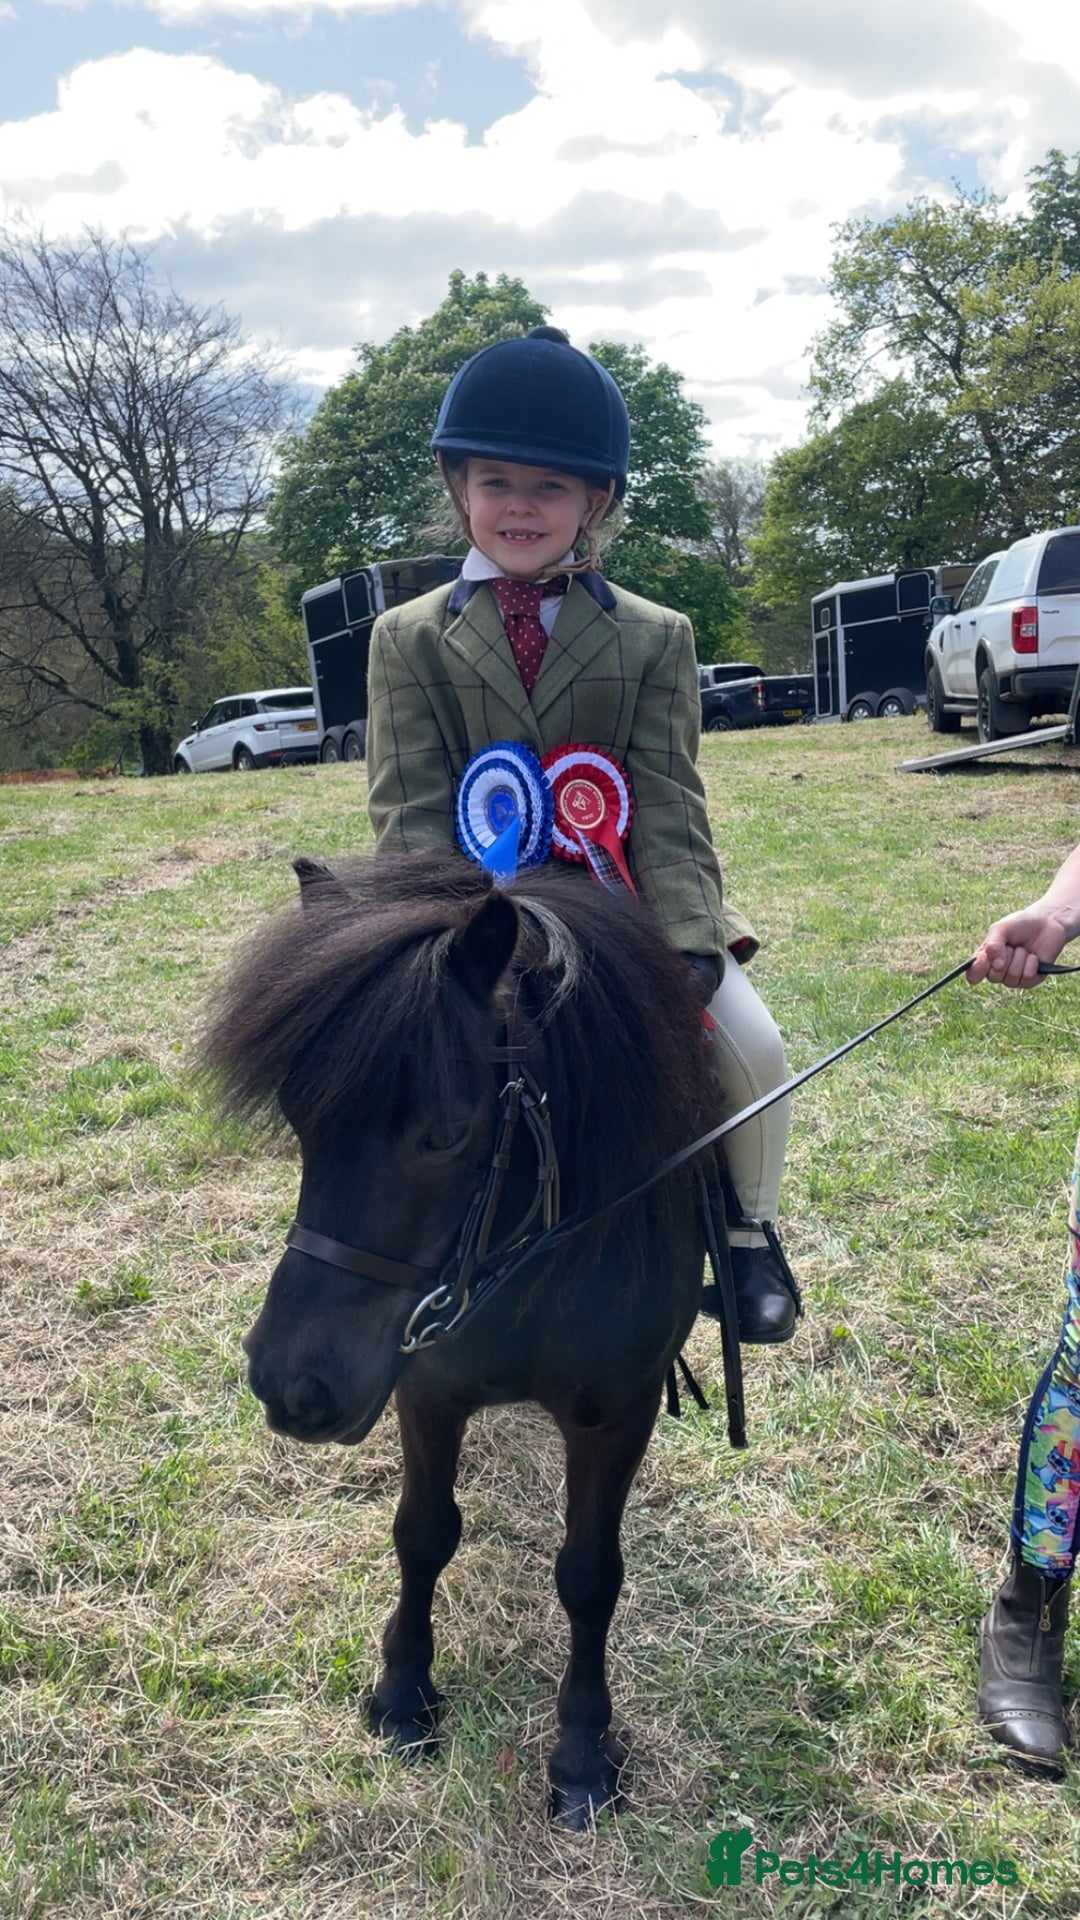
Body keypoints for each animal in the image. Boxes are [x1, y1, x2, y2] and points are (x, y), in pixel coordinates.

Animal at [202, 848, 723, 1827]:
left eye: (446, 1132)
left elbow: (589, 1573)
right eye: (298, 1116)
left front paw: (582, 1751)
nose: (292, 1385)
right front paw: (404, 1694)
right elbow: (423, 1532)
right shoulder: (425, 1388)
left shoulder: (619, 1412)